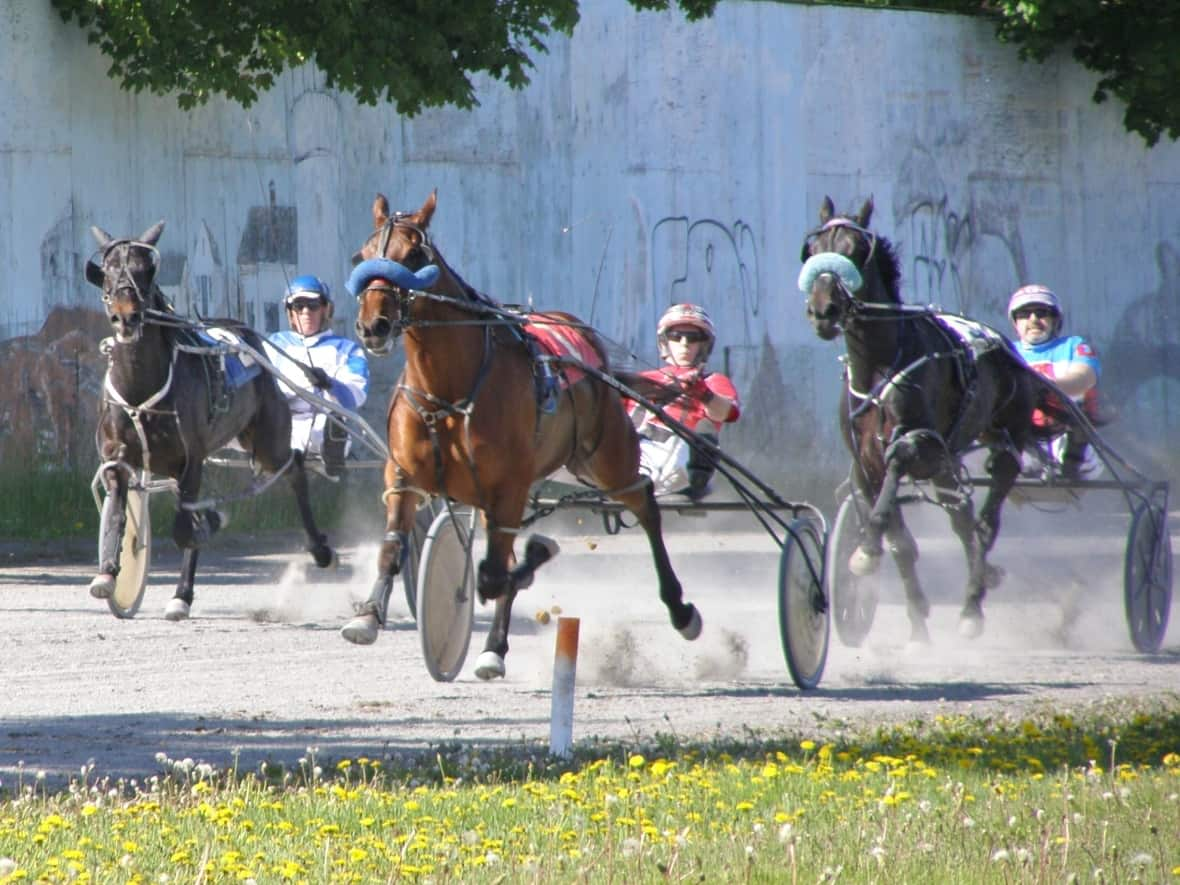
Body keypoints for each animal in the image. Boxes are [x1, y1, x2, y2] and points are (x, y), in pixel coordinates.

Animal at [86, 221, 332, 618]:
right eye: (108, 272)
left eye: (146, 271)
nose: (126, 316)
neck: (141, 387)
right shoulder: (117, 457)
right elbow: (119, 514)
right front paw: (108, 572)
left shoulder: (191, 460)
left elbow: (185, 529)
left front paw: (204, 532)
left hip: (267, 439)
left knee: (293, 467)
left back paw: (320, 549)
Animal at [337, 192, 693, 679]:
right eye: (361, 256)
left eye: (412, 256)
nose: (373, 325)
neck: (450, 389)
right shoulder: (403, 475)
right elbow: (394, 548)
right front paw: (367, 617)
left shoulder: (508, 486)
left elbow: (494, 574)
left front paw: (534, 556)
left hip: (605, 456)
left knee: (644, 503)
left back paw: (679, 609)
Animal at [797, 199, 1047, 646]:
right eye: (814, 248)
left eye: (854, 251)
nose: (822, 310)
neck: (877, 368)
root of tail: (1005, 348)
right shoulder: (865, 464)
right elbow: (900, 543)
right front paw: (917, 627)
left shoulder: (923, 444)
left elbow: (899, 460)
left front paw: (865, 552)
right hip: (947, 468)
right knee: (963, 521)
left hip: (1002, 440)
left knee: (984, 522)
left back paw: (972, 606)